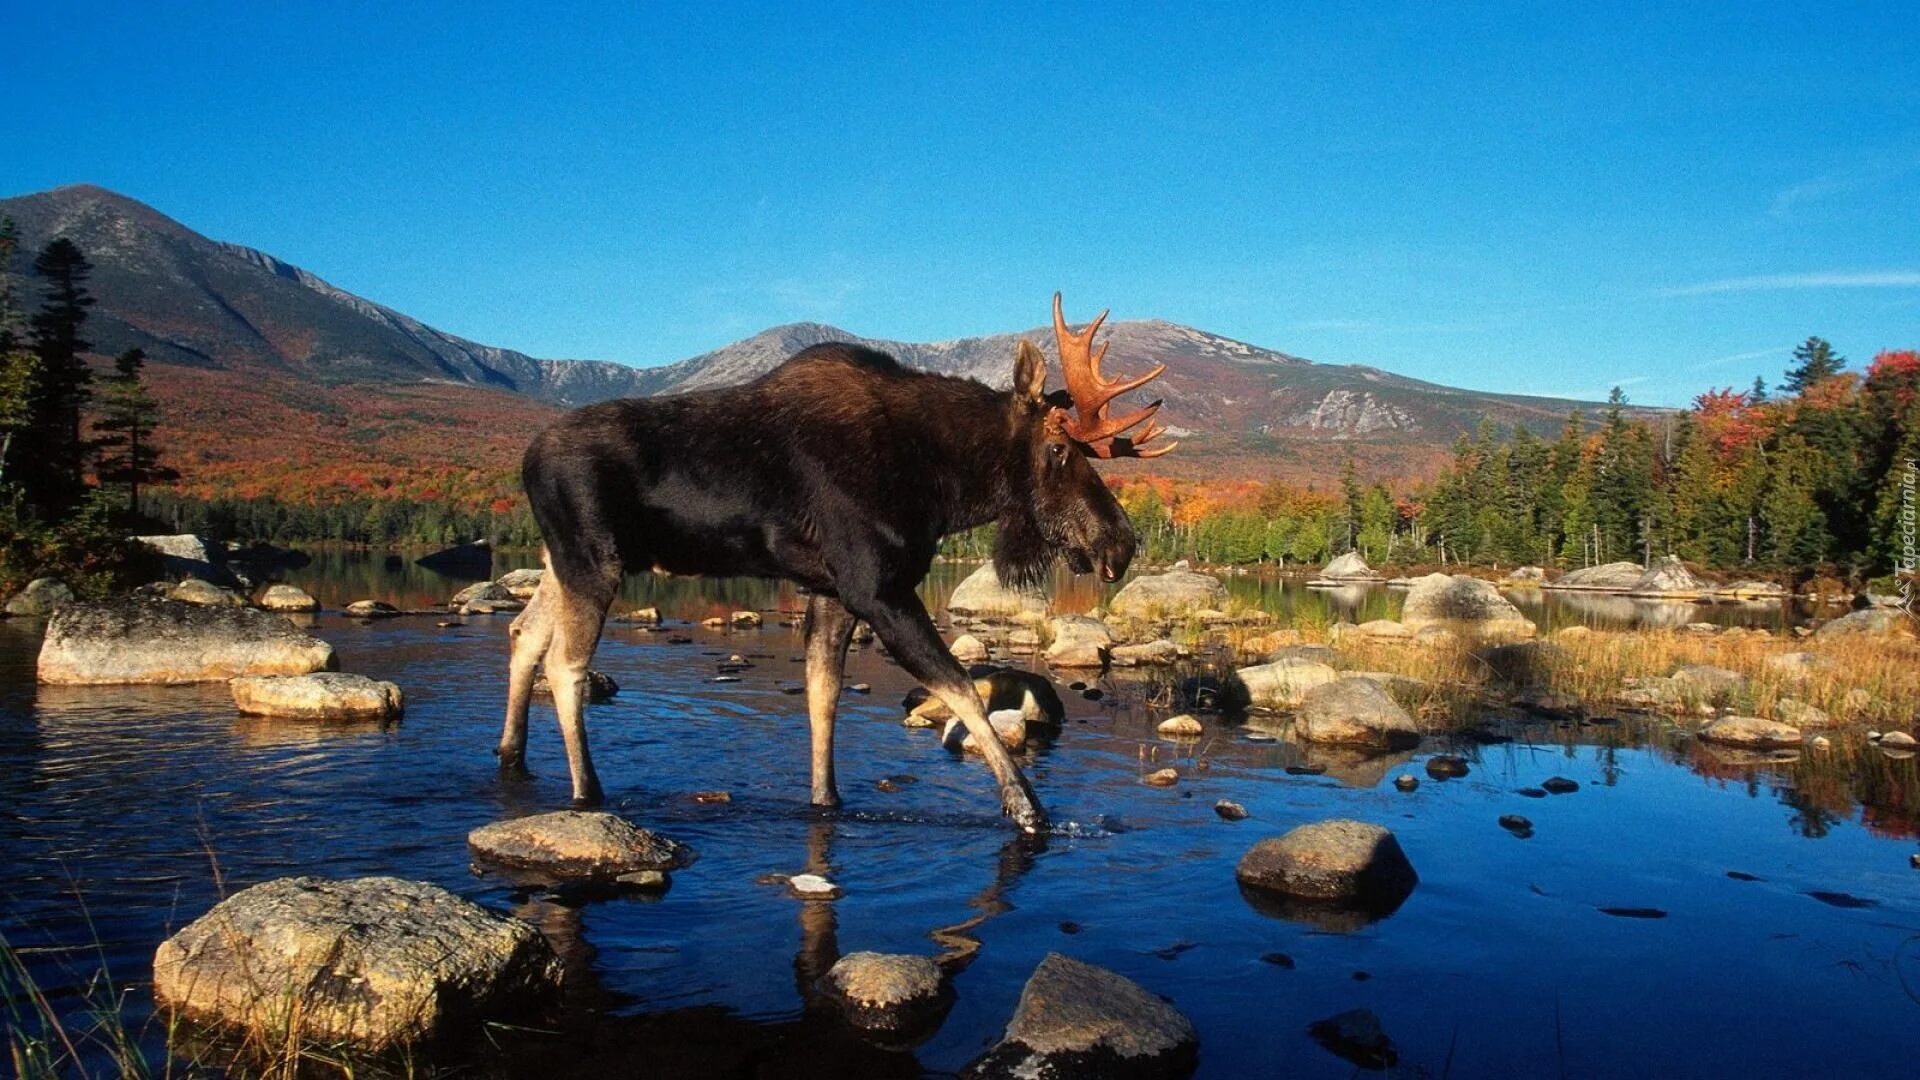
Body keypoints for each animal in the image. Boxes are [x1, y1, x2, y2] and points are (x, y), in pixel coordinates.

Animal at [499, 294, 1167, 834]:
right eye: (1058, 450)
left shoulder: (830, 591)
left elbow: (824, 698)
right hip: (594, 560)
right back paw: (587, 791)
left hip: (561, 562)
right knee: (565, 665)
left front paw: (826, 800)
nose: (1120, 542)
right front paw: (1026, 806)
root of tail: (525, 462)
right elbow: (963, 691)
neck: (943, 485)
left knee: (524, 632)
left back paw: (510, 755)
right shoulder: (878, 588)